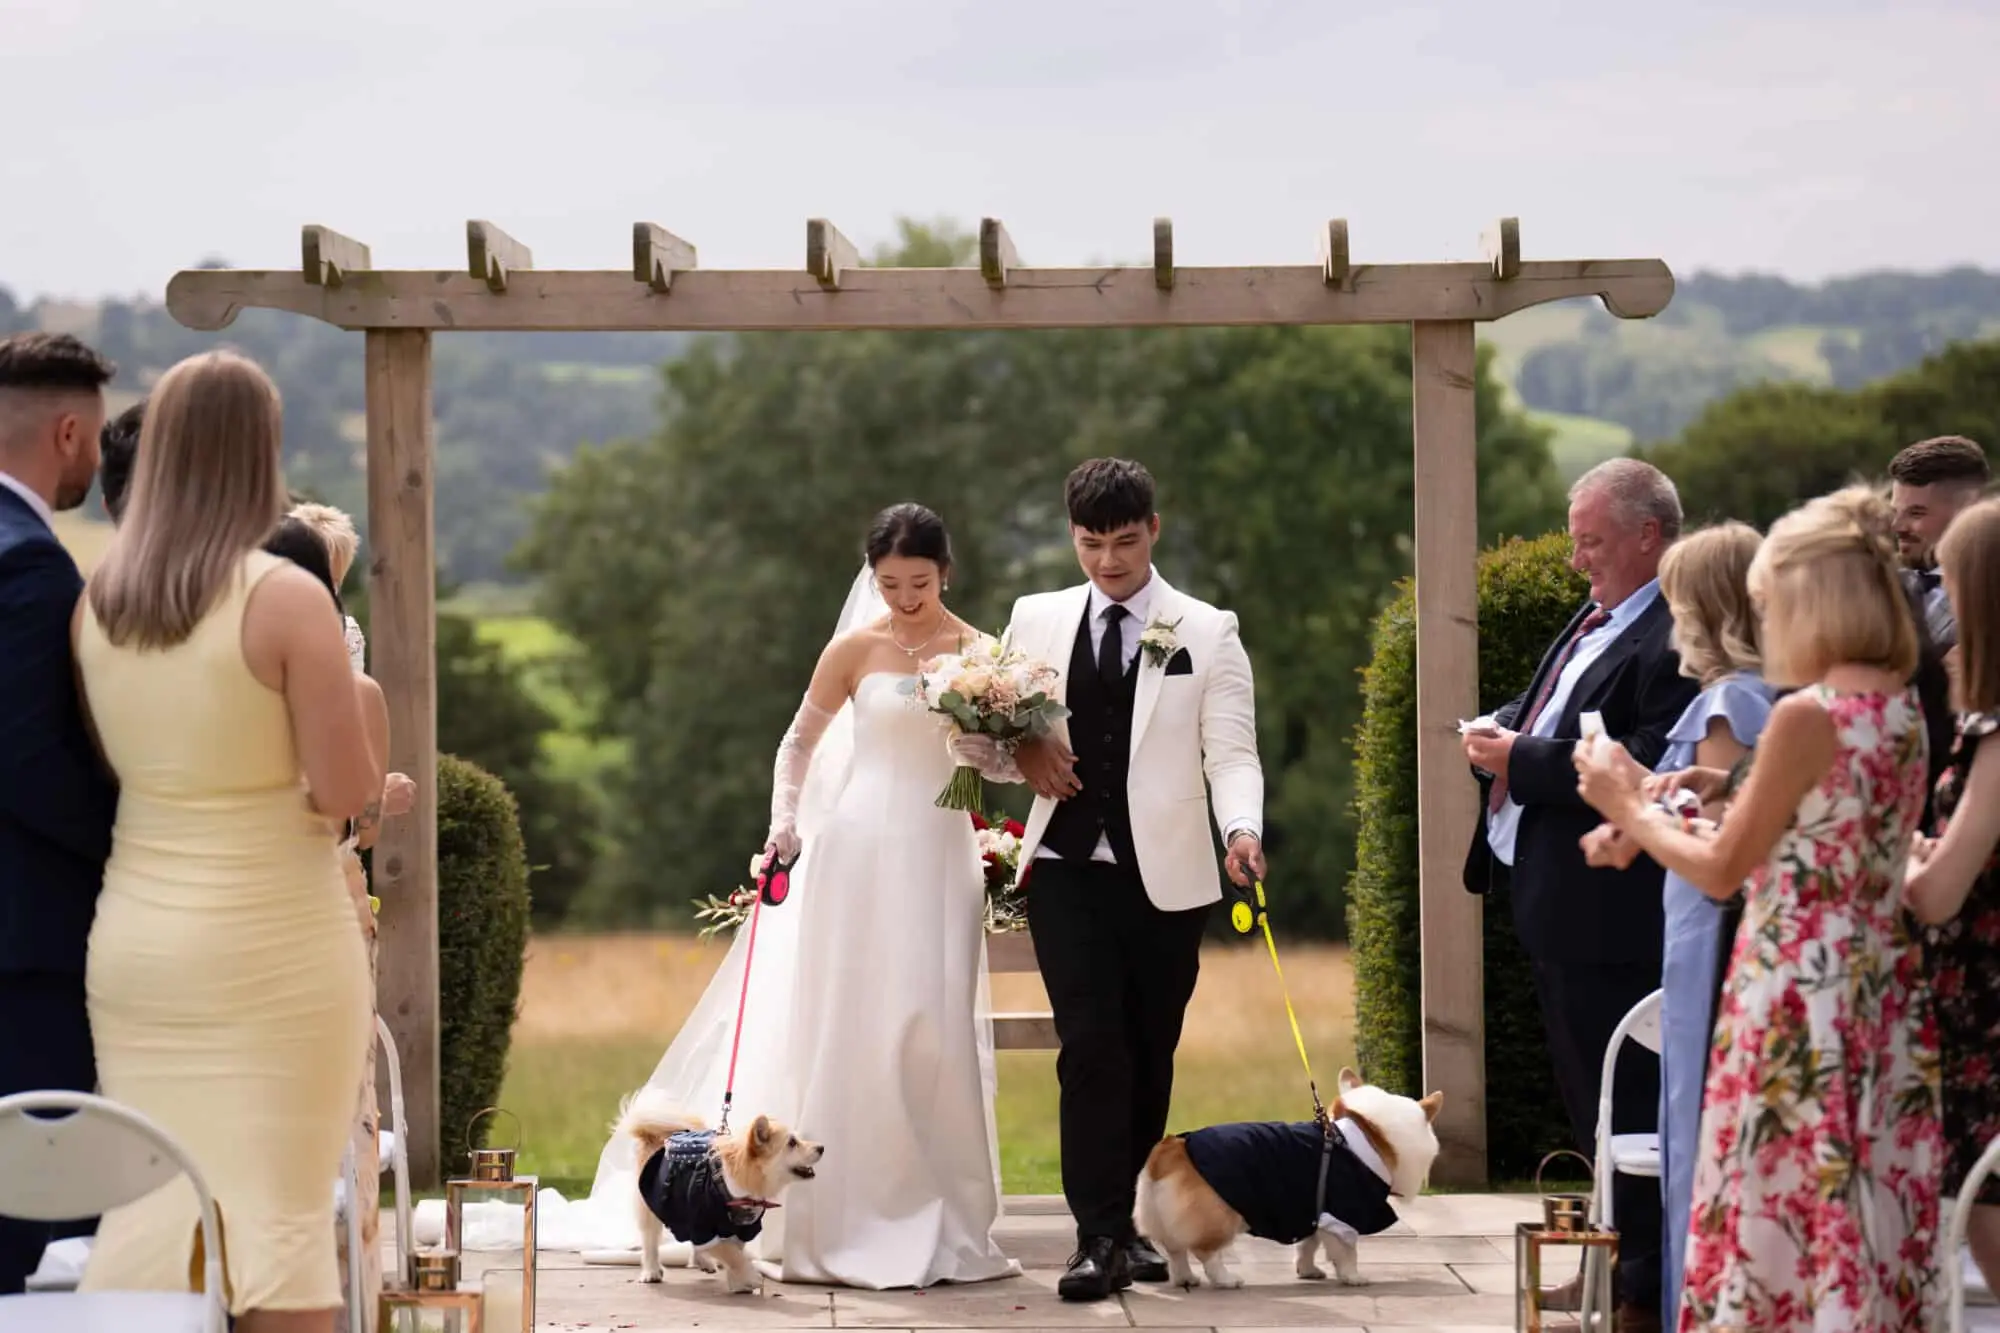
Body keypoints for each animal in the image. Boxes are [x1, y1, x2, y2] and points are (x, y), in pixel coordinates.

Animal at [616, 1080, 820, 1288]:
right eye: (792, 1143)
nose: (821, 1148)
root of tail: (653, 1135)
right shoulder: (703, 1222)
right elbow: (731, 1254)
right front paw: (749, 1277)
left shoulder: (744, 1227)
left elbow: (735, 1251)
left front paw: (738, 1282)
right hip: (654, 1203)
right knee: (650, 1238)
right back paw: (651, 1271)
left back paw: (702, 1261)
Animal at [1136, 1064, 1448, 1280]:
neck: (1368, 1135)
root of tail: (1170, 1148)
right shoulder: (1343, 1215)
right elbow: (1348, 1253)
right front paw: (1354, 1278)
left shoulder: (1313, 1212)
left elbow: (1308, 1246)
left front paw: (1308, 1272)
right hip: (1219, 1220)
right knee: (1206, 1253)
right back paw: (1226, 1280)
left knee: (1176, 1252)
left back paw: (1185, 1279)